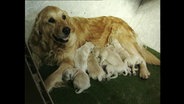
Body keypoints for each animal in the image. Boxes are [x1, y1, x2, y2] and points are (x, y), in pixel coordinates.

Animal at [27, 5, 160, 91]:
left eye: (64, 17)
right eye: (51, 20)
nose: (67, 30)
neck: (52, 46)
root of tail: (125, 22)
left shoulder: (68, 62)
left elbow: (51, 78)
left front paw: (44, 87)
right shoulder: (36, 53)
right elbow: (33, 60)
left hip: (123, 39)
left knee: (141, 56)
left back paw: (144, 71)